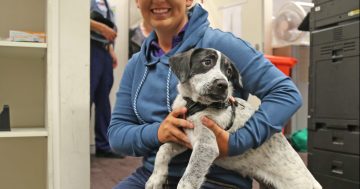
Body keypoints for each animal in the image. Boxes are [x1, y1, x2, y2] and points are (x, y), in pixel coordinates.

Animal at [145, 48, 322, 189]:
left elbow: (188, 179)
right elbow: (163, 150)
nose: (222, 84)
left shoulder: (206, 146)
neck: (196, 105)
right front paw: (156, 179)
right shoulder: (184, 138)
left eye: (228, 71)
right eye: (206, 62)